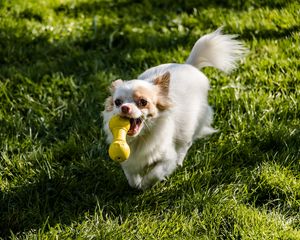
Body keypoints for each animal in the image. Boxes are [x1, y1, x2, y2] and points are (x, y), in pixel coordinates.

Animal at [102, 27, 245, 189]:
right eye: (117, 102)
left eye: (143, 102)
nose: (125, 108)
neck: (140, 138)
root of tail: (189, 65)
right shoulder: (129, 162)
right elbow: (131, 178)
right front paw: (137, 184)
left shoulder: (167, 158)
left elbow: (155, 173)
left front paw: (145, 184)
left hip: (190, 127)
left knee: (185, 145)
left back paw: (180, 161)